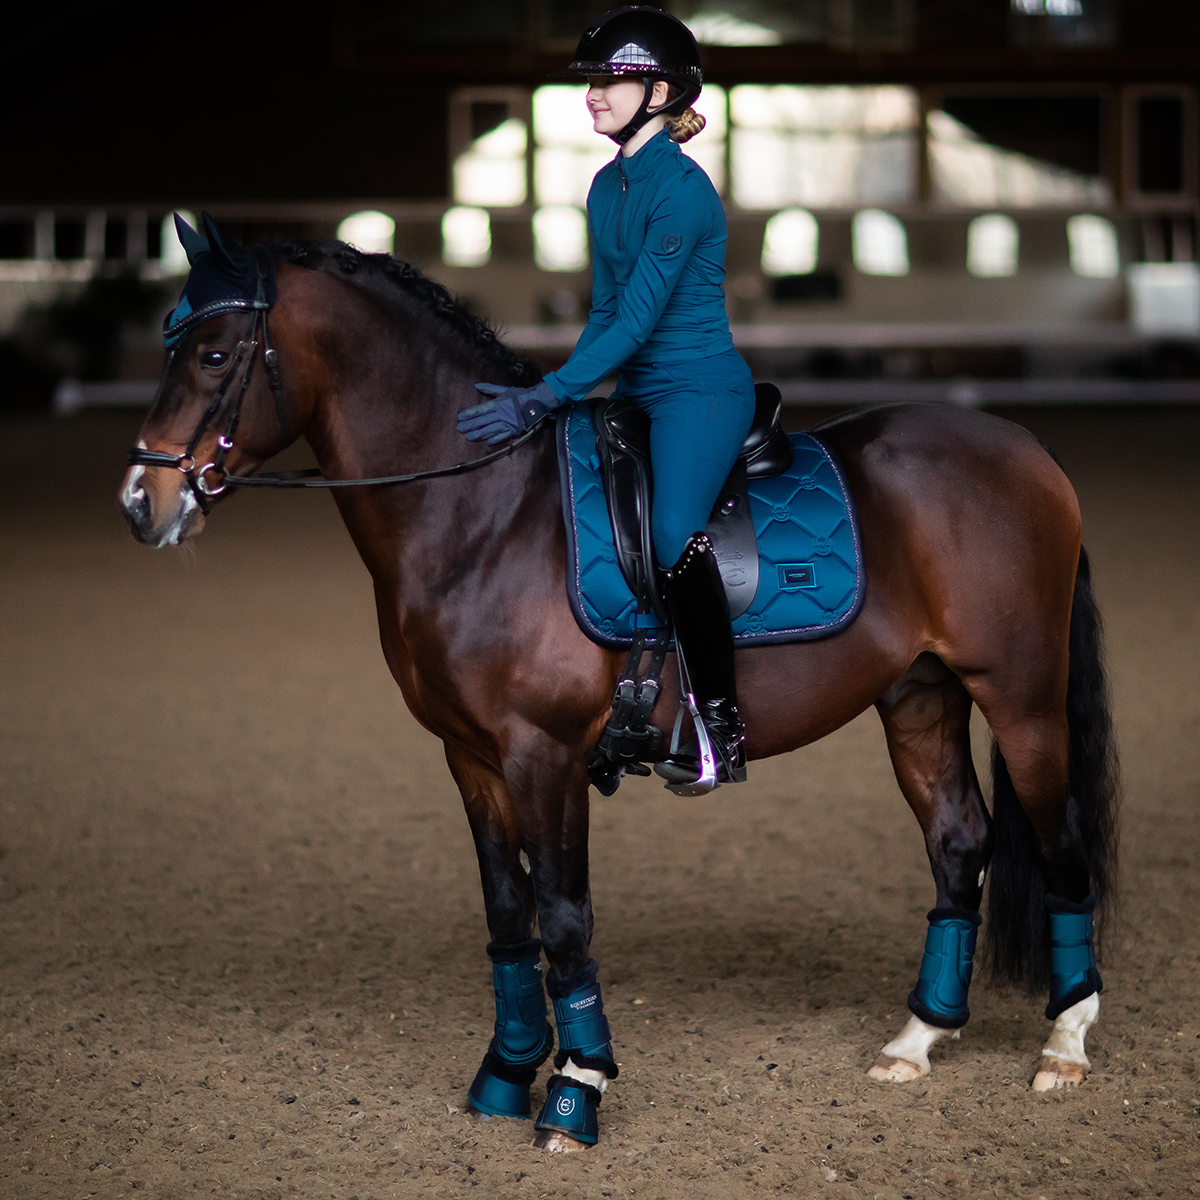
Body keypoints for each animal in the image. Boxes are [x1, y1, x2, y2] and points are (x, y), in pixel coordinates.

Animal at [119, 231, 1113, 1152]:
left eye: (213, 355)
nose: (140, 501)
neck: (485, 512)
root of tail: (1024, 448)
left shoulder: (543, 754)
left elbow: (564, 919)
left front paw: (574, 1090)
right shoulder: (470, 757)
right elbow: (508, 916)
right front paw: (505, 1073)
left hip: (1021, 700)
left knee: (1061, 841)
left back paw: (1064, 1045)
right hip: (920, 695)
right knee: (959, 841)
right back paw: (916, 1040)